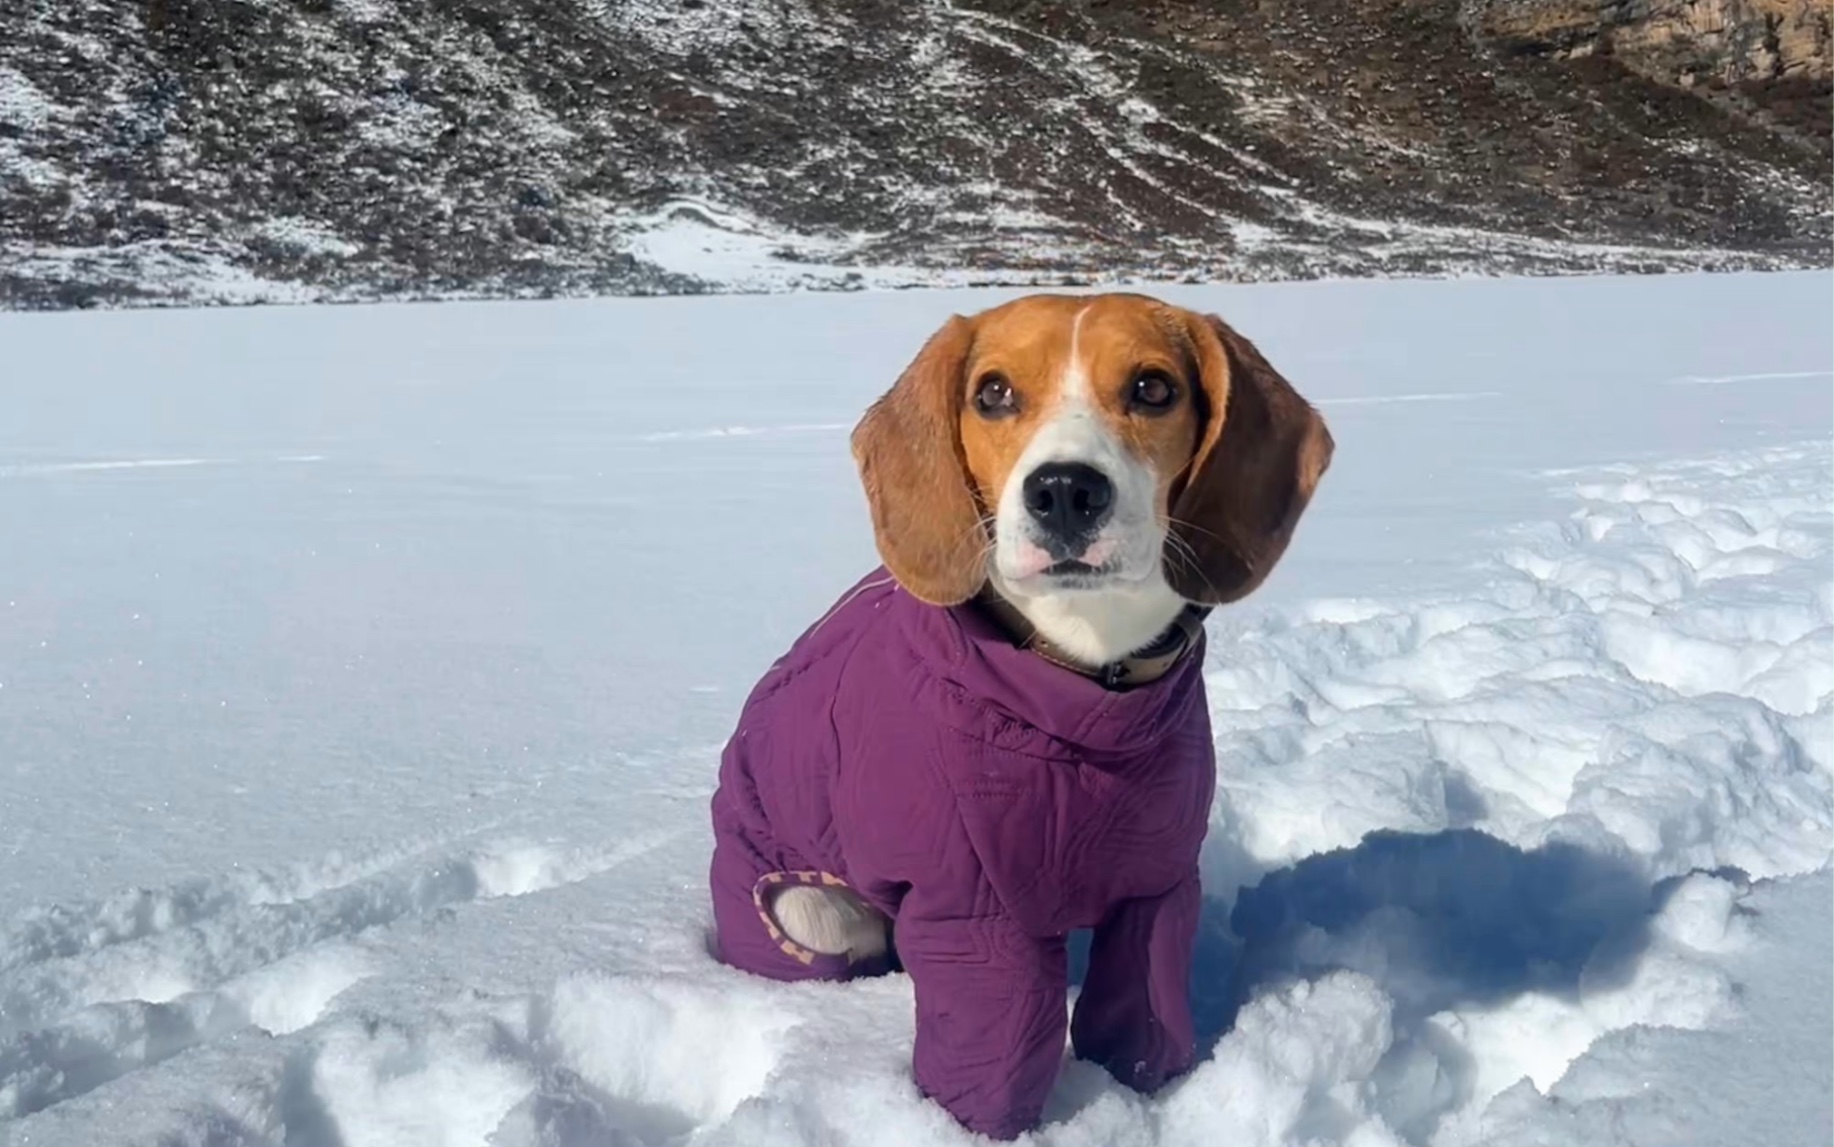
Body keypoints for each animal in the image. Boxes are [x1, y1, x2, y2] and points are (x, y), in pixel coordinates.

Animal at [704, 293, 1335, 1137]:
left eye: (1154, 388)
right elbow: (994, 1057)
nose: (1065, 488)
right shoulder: (977, 919)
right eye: (994, 393)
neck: (1082, 696)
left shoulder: (1158, 885)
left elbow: (1142, 1020)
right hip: (804, 909)